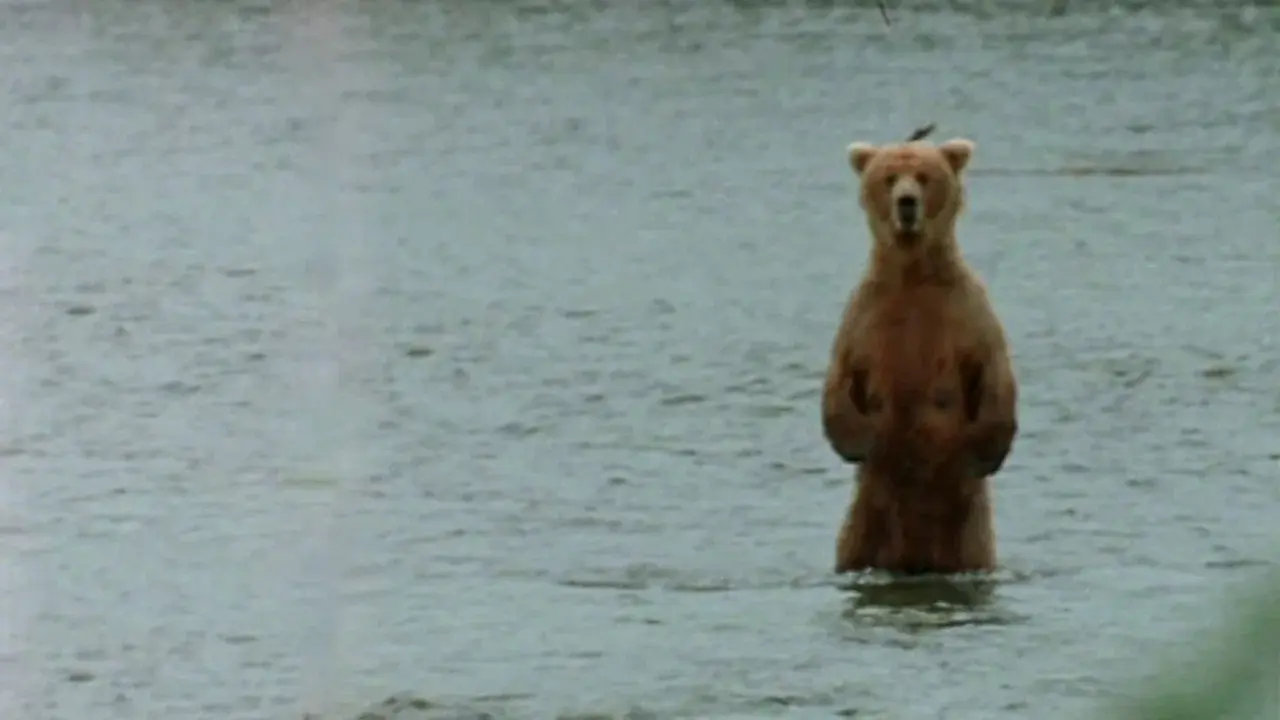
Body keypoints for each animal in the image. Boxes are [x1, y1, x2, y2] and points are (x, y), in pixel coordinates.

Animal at [820, 136, 1018, 575]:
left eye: (924, 176)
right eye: (889, 176)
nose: (906, 202)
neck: (911, 275)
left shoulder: (966, 314)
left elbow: (994, 373)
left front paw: (987, 451)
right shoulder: (865, 318)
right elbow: (840, 378)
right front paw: (858, 440)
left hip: (969, 538)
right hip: (862, 528)